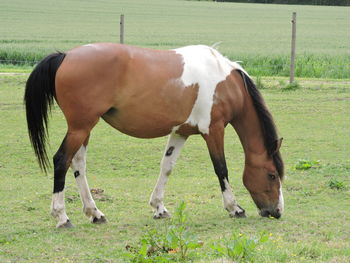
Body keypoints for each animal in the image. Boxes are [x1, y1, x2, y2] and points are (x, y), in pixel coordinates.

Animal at [24, 43, 284, 229]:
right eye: (272, 175)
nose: (277, 212)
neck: (225, 81)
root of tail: (65, 56)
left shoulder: (181, 132)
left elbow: (166, 167)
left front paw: (158, 208)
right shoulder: (214, 130)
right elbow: (221, 169)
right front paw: (234, 208)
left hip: (83, 128)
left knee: (78, 165)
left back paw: (95, 213)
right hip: (80, 127)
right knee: (61, 161)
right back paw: (62, 217)